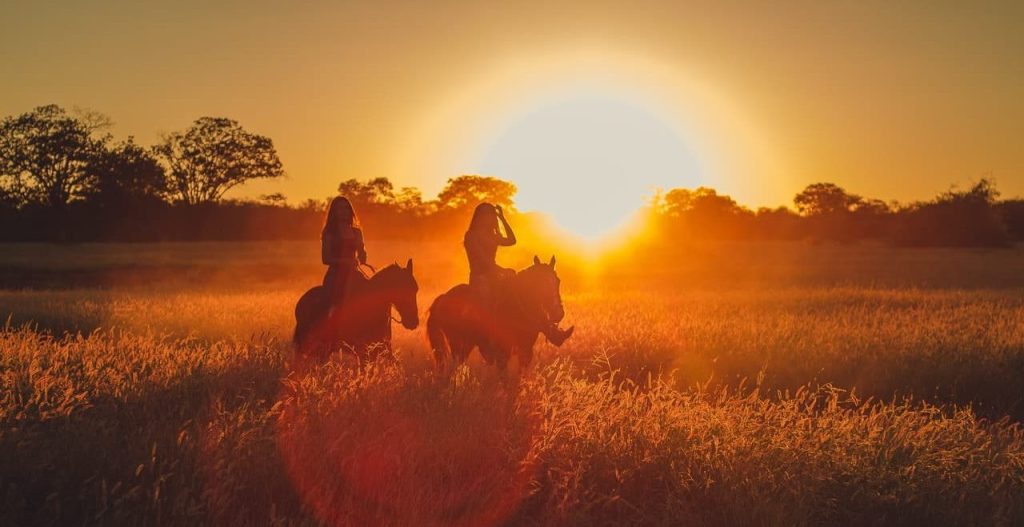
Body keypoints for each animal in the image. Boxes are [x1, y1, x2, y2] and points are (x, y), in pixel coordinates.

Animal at [423, 255, 569, 374]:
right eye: (539, 283)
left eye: (558, 281)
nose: (558, 313)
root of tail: (443, 298)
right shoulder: (503, 353)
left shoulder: (526, 350)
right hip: (458, 344)